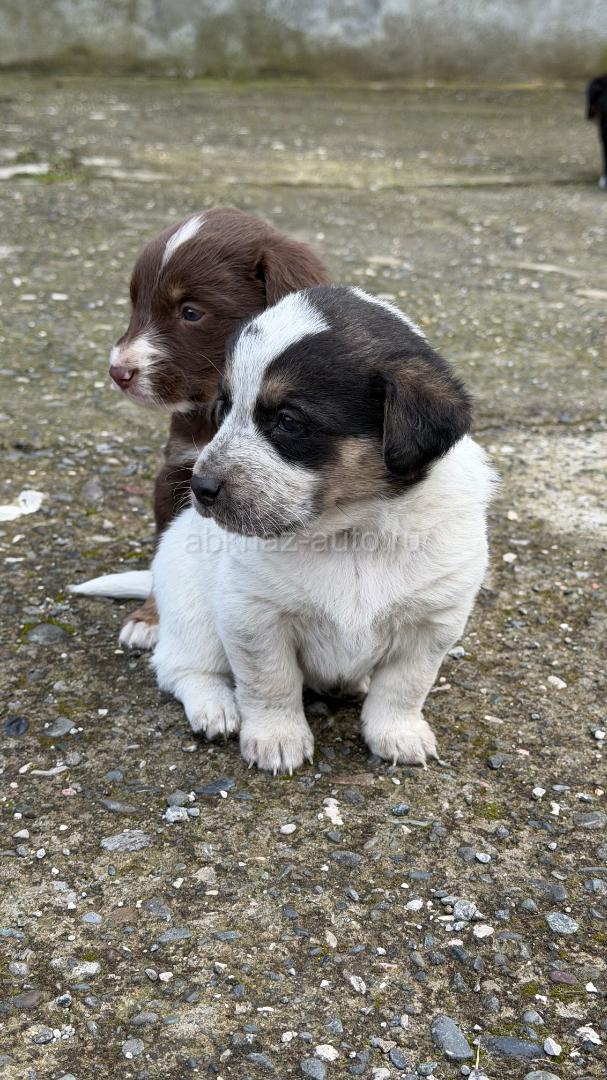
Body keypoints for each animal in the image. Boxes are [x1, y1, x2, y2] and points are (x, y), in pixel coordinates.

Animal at [71, 208, 327, 645]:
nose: (118, 372)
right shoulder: (176, 470)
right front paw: (150, 618)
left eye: (191, 312)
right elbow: (165, 551)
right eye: (136, 304)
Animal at [150, 285, 496, 773]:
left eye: (288, 421)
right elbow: (269, 683)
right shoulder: (254, 616)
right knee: (181, 668)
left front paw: (398, 733)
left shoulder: (431, 624)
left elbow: (404, 687)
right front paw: (277, 739)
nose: (200, 487)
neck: (352, 533)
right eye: (224, 408)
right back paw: (215, 707)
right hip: (194, 618)